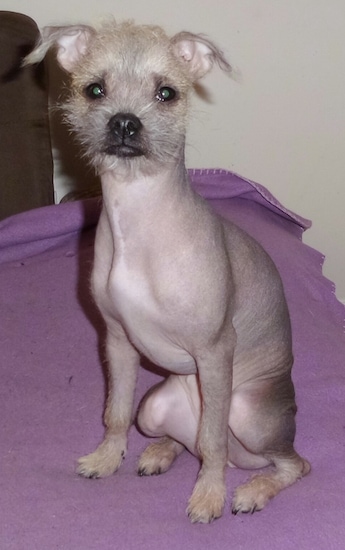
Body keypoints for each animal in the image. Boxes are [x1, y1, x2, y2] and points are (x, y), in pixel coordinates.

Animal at [24, 19, 310, 524]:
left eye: (166, 94)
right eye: (94, 89)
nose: (124, 122)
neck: (138, 219)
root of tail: (245, 460)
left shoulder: (216, 352)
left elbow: (212, 441)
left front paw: (209, 496)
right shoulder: (117, 342)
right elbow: (115, 413)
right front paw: (107, 457)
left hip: (247, 412)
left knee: (285, 461)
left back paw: (251, 489)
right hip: (155, 406)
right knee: (187, 440)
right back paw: (159, 453)